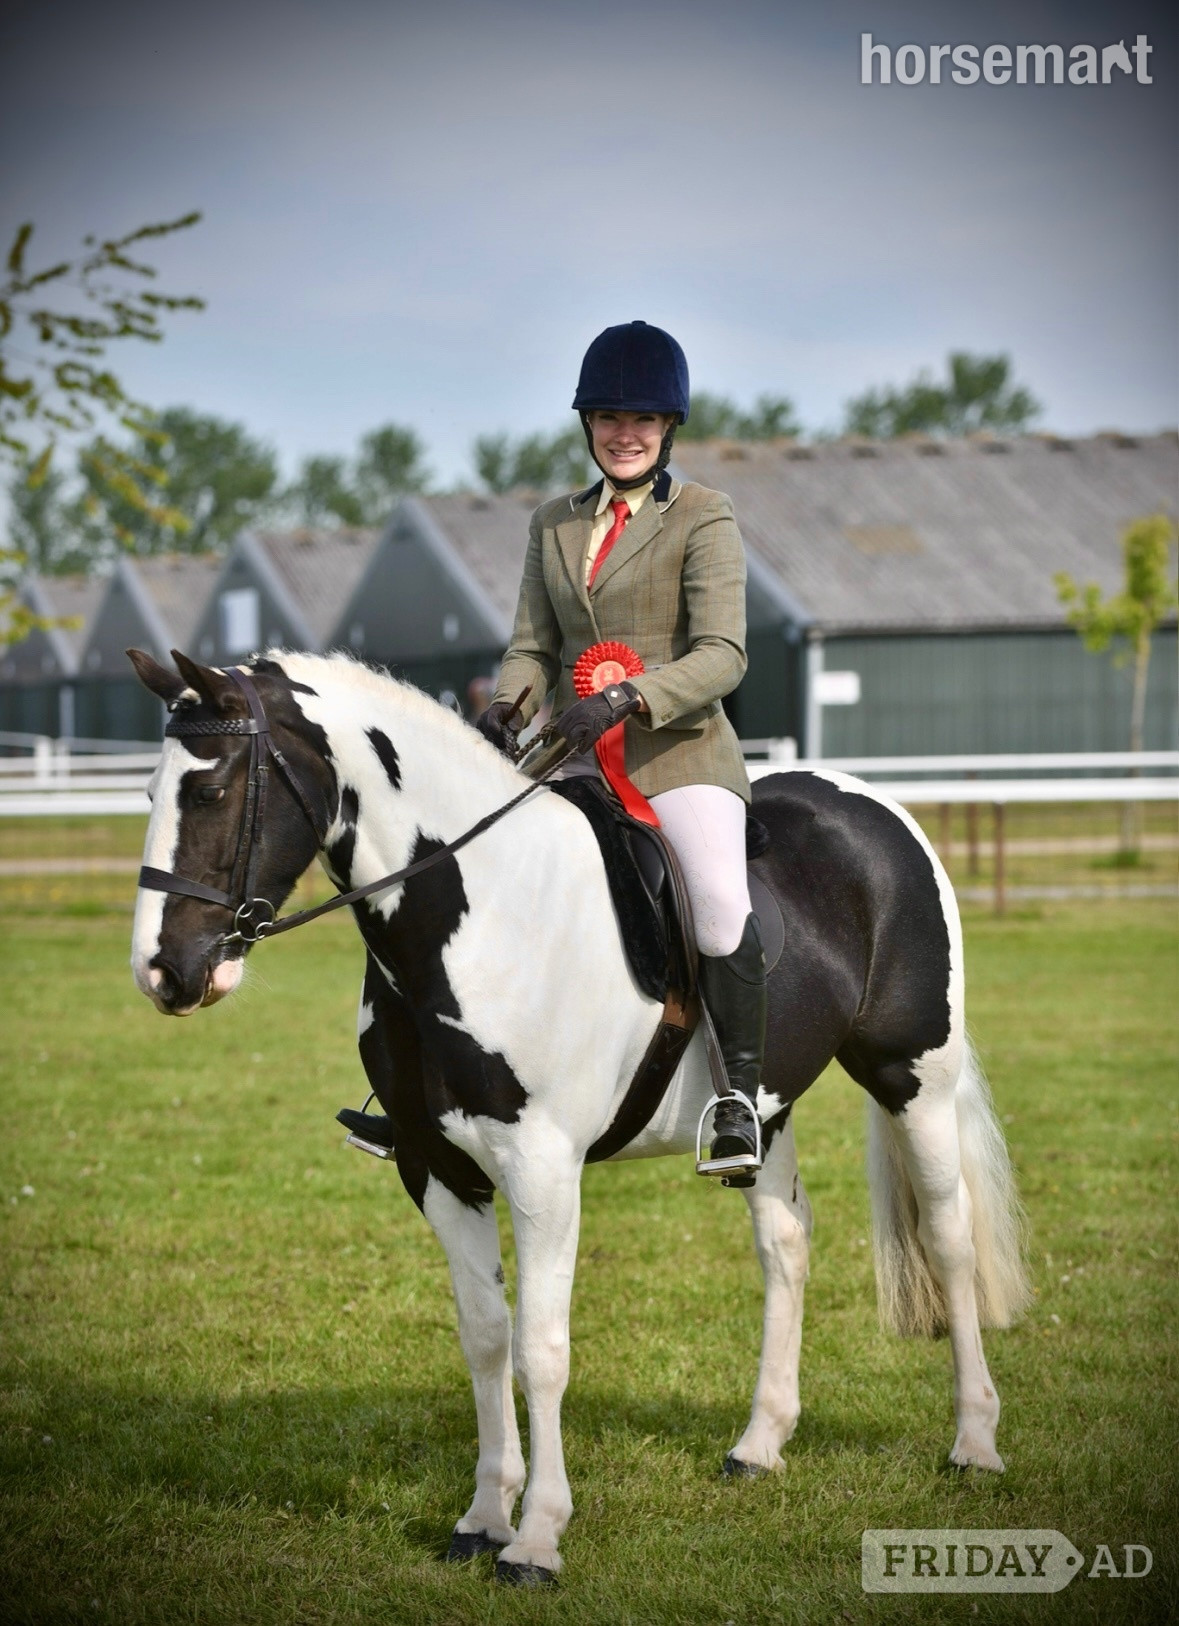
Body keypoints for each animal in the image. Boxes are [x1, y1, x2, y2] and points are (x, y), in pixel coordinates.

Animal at [127, 646, 1030, 1587]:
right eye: (150, 793)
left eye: (212, 791)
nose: (164, 973)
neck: (479, 918)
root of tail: (869, 804)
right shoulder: (434, 1168)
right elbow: (486, 1338)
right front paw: (483, 1517)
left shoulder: (542, 1170)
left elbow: (541, 1349)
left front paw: (535, 1538)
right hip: (763, 1110)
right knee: (785, 1243)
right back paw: (758, 1446)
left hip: (913, 1076)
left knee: (948, 1237)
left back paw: (973, 1443)